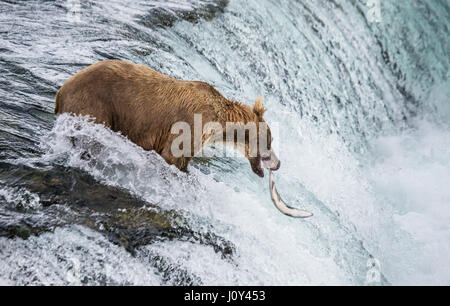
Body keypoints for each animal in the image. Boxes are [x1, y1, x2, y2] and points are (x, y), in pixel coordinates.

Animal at [54, 59, 280, 177]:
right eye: (269, 141)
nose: (278, 163)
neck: (219, 126)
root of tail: (61, 91)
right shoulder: (190, 127)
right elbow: (174, 157)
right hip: (94, 105)